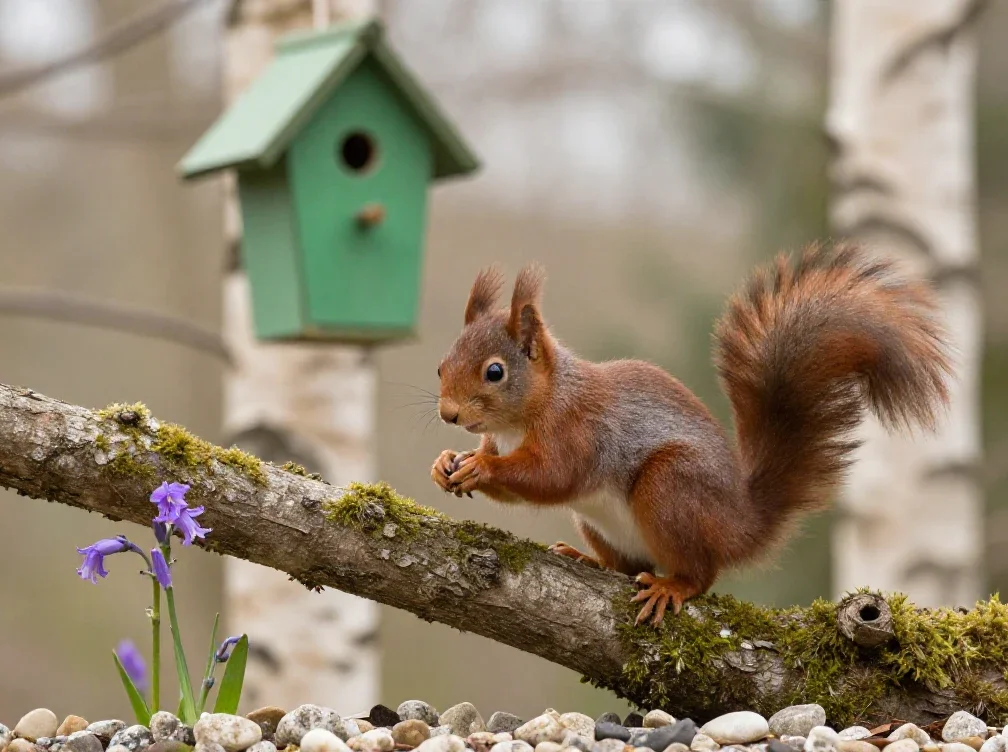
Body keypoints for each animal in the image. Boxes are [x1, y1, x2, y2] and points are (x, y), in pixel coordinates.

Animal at [430, 241, 953, 626]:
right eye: (440, 366)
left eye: (495, 372)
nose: (449, 414)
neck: (522, 418)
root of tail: (739, 523)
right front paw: (444, 463)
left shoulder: (579, 431)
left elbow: (552, 477)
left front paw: (482, 467)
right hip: (603, 522)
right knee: (628, 567)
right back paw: (590, 560)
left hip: (670, 489)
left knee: (701, 574)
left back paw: (671, 586)